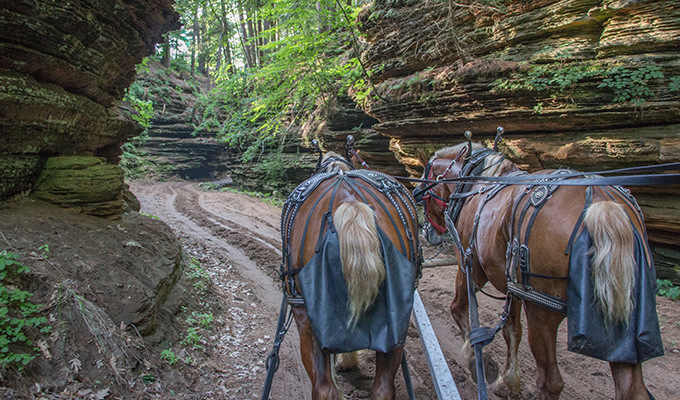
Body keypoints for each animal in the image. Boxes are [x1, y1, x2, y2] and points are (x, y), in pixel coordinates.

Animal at [280, 152, 420, 398]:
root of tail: (350, 202)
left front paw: (346, 361)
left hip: (306, 318)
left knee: (324, 388)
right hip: (396, 328)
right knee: (383, 388)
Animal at [414, 142, 660, 398]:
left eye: (424, 189)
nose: (428, 233)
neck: (474, 184)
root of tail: (601, 203)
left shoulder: (469, 265)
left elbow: (458, 310)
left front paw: (478, 363)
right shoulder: (512, 287)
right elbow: (512, 330)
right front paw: (508, 382)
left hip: (541, 311)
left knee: (549, 382)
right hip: (624, 322)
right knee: (632, 388)